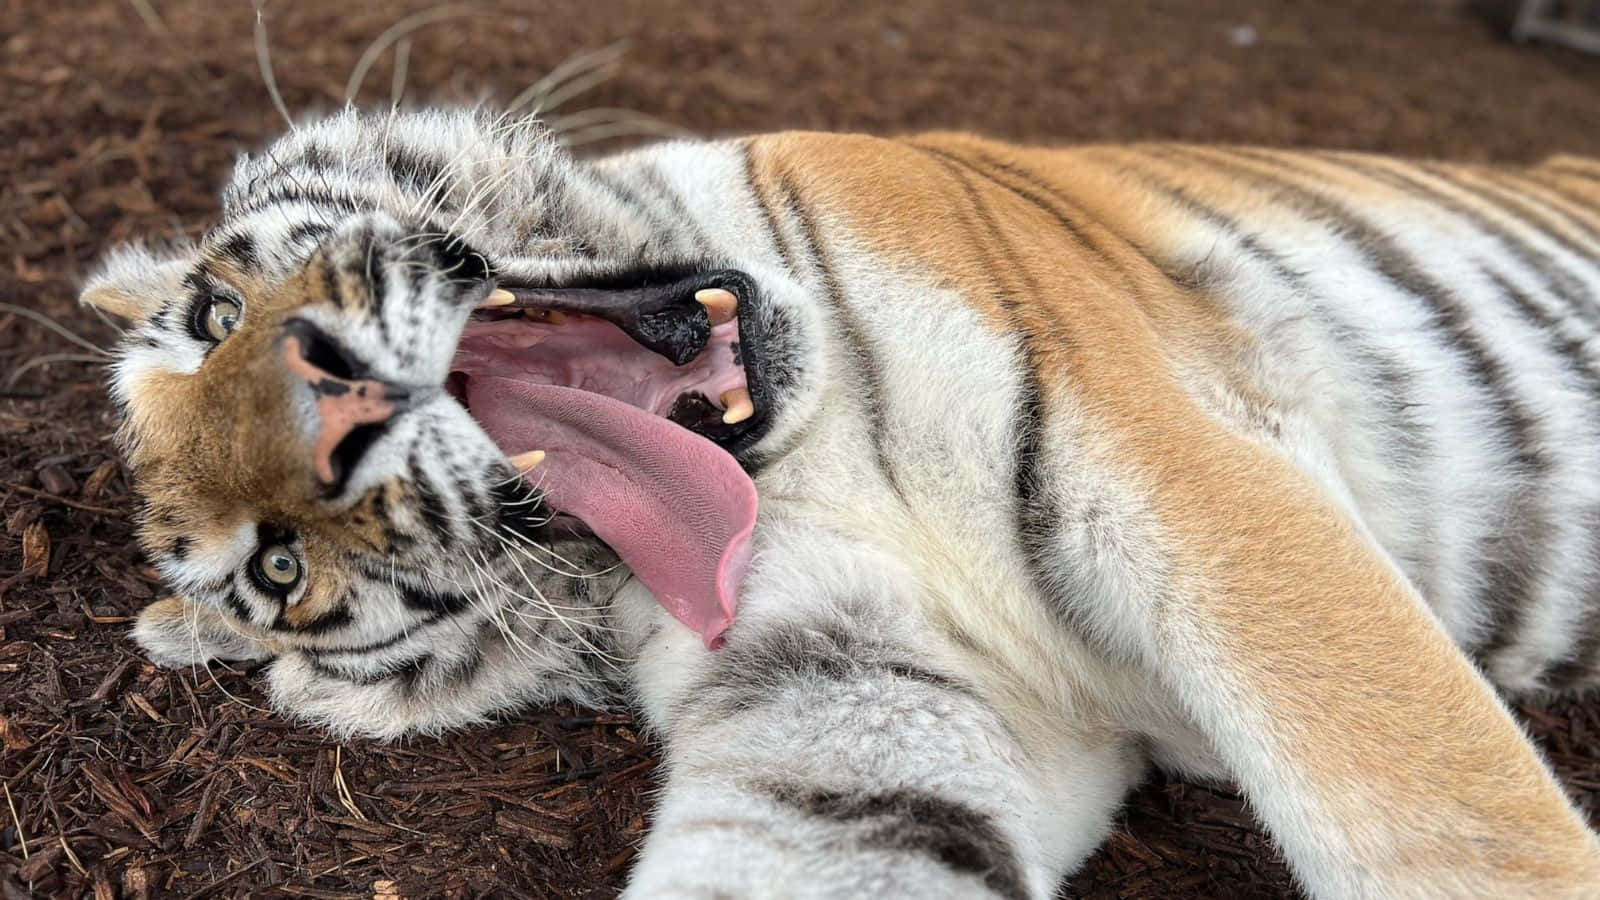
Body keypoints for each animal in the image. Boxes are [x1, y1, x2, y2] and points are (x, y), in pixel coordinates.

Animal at [80, 106, 1600, 898]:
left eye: (215, 316)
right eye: (280, 573)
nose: (326, 424)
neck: (807, 458)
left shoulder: (1199, 475)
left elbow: (1439, 812)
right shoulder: (869, 686)